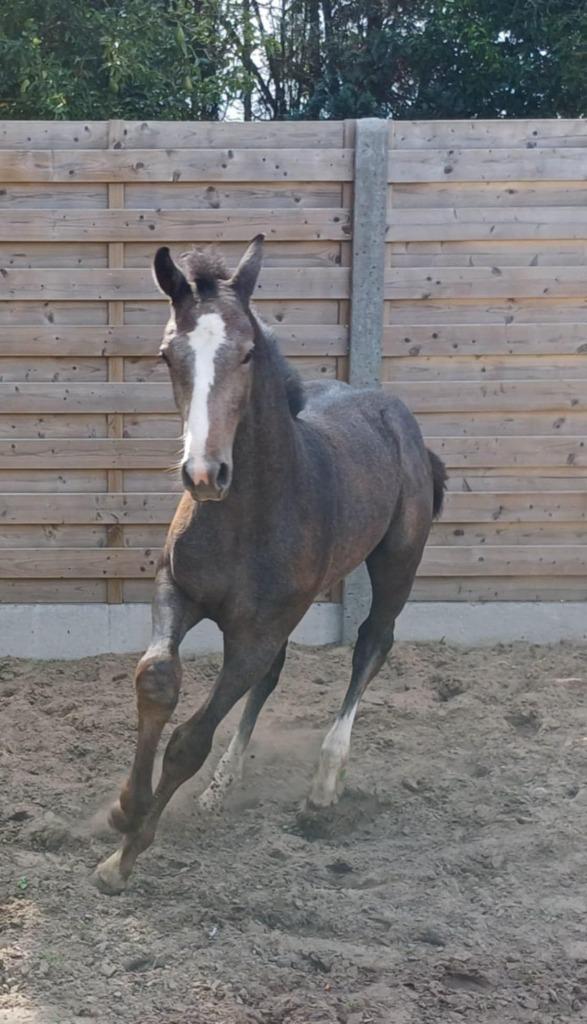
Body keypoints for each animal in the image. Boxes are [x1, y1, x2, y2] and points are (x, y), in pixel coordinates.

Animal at [93, 235, 446, 894]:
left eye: (249, 352)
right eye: (166, 354)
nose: (204, 474)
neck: (245, 516)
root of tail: (397, 412)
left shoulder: (255, 632)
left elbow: (190, 740)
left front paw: (121, 860)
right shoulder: (177, 590)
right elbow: (157, 678)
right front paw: (127, 806)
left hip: (397, 560)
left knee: (372, 642)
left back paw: (325, 782)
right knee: (278, 671)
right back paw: (222, 786)